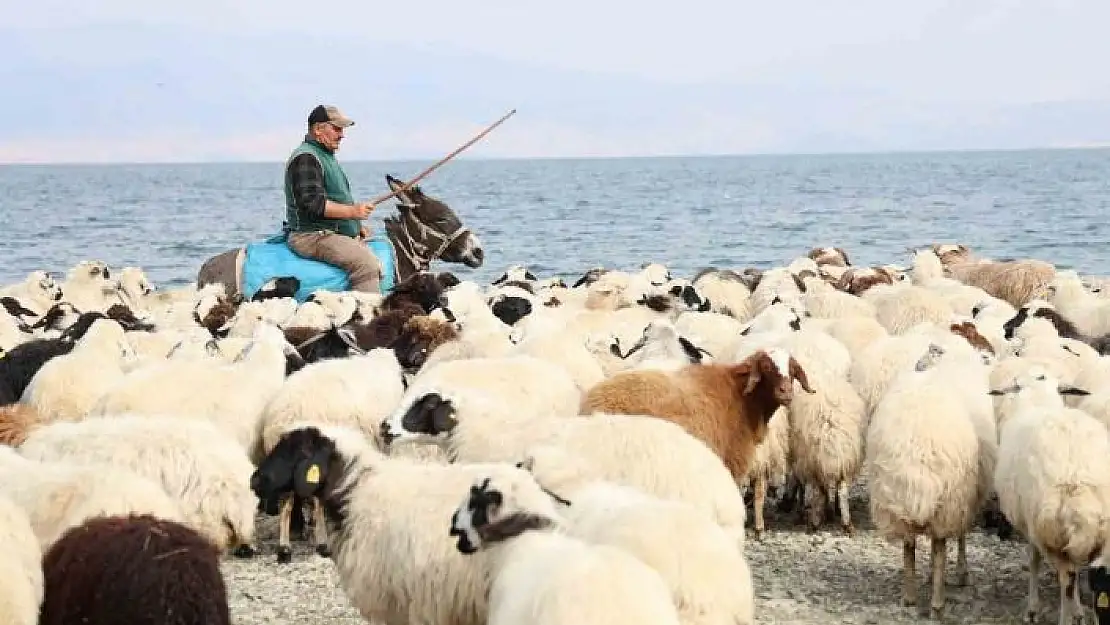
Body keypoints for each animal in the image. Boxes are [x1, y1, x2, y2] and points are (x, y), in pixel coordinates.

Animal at [581, 350, 816, 481]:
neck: (742, 399)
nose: (785, 392)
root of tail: (590, 402)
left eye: (792, 371)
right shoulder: (730, 463)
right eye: (766, 367)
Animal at [990, 366, 1110, 625]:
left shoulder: (1030, 528)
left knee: (1067, 579)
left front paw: (1032, 608)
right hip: (1101, 535)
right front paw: (1080, 611)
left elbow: (1033, 561)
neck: (1038, 399)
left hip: (1047, 531)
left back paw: (1066, 615)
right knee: (1093, 581)